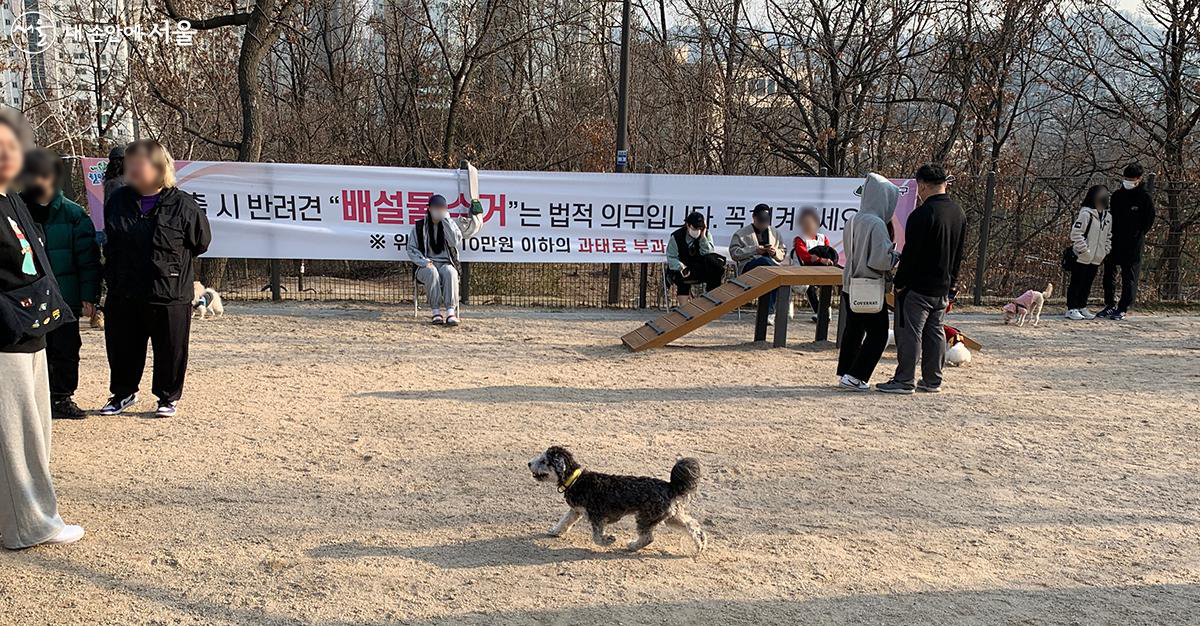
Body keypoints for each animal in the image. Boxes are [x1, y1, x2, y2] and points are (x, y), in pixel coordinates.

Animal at [530, 443, 705, 551]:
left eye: (544, 461)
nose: (529, 463)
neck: (575, 479)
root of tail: (670, 486)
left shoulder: (596, 516)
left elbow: (597, 538)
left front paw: (609, 540)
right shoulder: (576, 510)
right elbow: (564, 521)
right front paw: (555, 531)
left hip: (645, 517)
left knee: (648, 537)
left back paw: (633, 546)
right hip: (671, 517)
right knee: (692, 526)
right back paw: (700, 545)